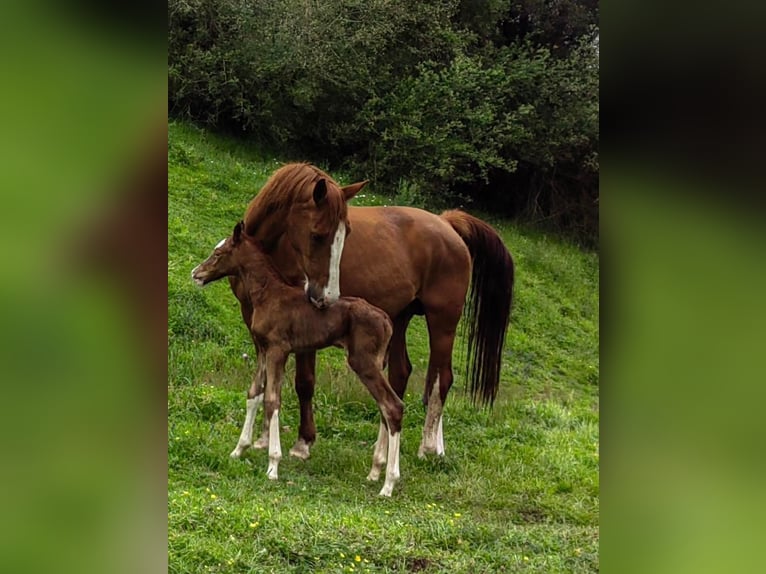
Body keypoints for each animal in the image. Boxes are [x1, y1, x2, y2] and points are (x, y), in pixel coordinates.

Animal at [192, 221, 404, 496]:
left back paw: (388, 484)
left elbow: (272, 400)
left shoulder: (278, 350)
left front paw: (273, 466)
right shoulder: (262, 349)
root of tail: (387, 320)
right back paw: (375, 472)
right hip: (376, 362)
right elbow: (254, 393)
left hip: (363, 361)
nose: (196, 274)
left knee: (393, 406)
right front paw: (238, 450)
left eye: (218, 253)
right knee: (383, 407)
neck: (267, 293)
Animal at [230, 162, 514, 461]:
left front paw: (302, 443)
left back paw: (429, 446)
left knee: (441, 379)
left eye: (346, 234)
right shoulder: (258, 324)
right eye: (318, 235)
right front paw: (262, 439)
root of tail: (447, 223)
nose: (327, 297)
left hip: (443, 322)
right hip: (400, 318)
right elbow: (267, 382)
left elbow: (303, 382)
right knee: (399, 377)